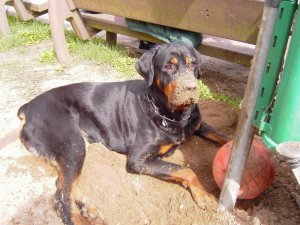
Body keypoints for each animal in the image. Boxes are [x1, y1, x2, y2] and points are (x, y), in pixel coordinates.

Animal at [18, 42, 230, 225]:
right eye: (168, 67)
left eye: (193, 64)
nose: (191, 88)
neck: (171, 113)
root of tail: (28, 107)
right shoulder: (139, 159)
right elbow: (186, 170)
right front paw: (204, 196)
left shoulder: (198, 124)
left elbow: (225, 137)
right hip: (71, 143)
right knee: (61, 195)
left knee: (64, 184)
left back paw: (88, 209)